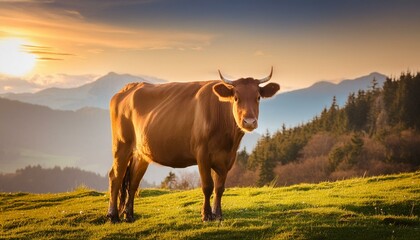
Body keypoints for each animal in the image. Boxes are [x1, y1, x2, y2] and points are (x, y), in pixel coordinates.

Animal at [106, 68, 280, 222]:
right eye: (236, 98)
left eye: (258, 97)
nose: (249, 122)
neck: (227, 139)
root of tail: (128, 88)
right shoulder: (202, 154)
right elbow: (208, 186)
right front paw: (206, 215)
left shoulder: (227, 158)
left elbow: (220, 188)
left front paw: (218, 215)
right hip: (122, 145)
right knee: (116, 176)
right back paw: (113, 216)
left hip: (142, 152)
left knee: (133, 182)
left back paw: (129, 216)